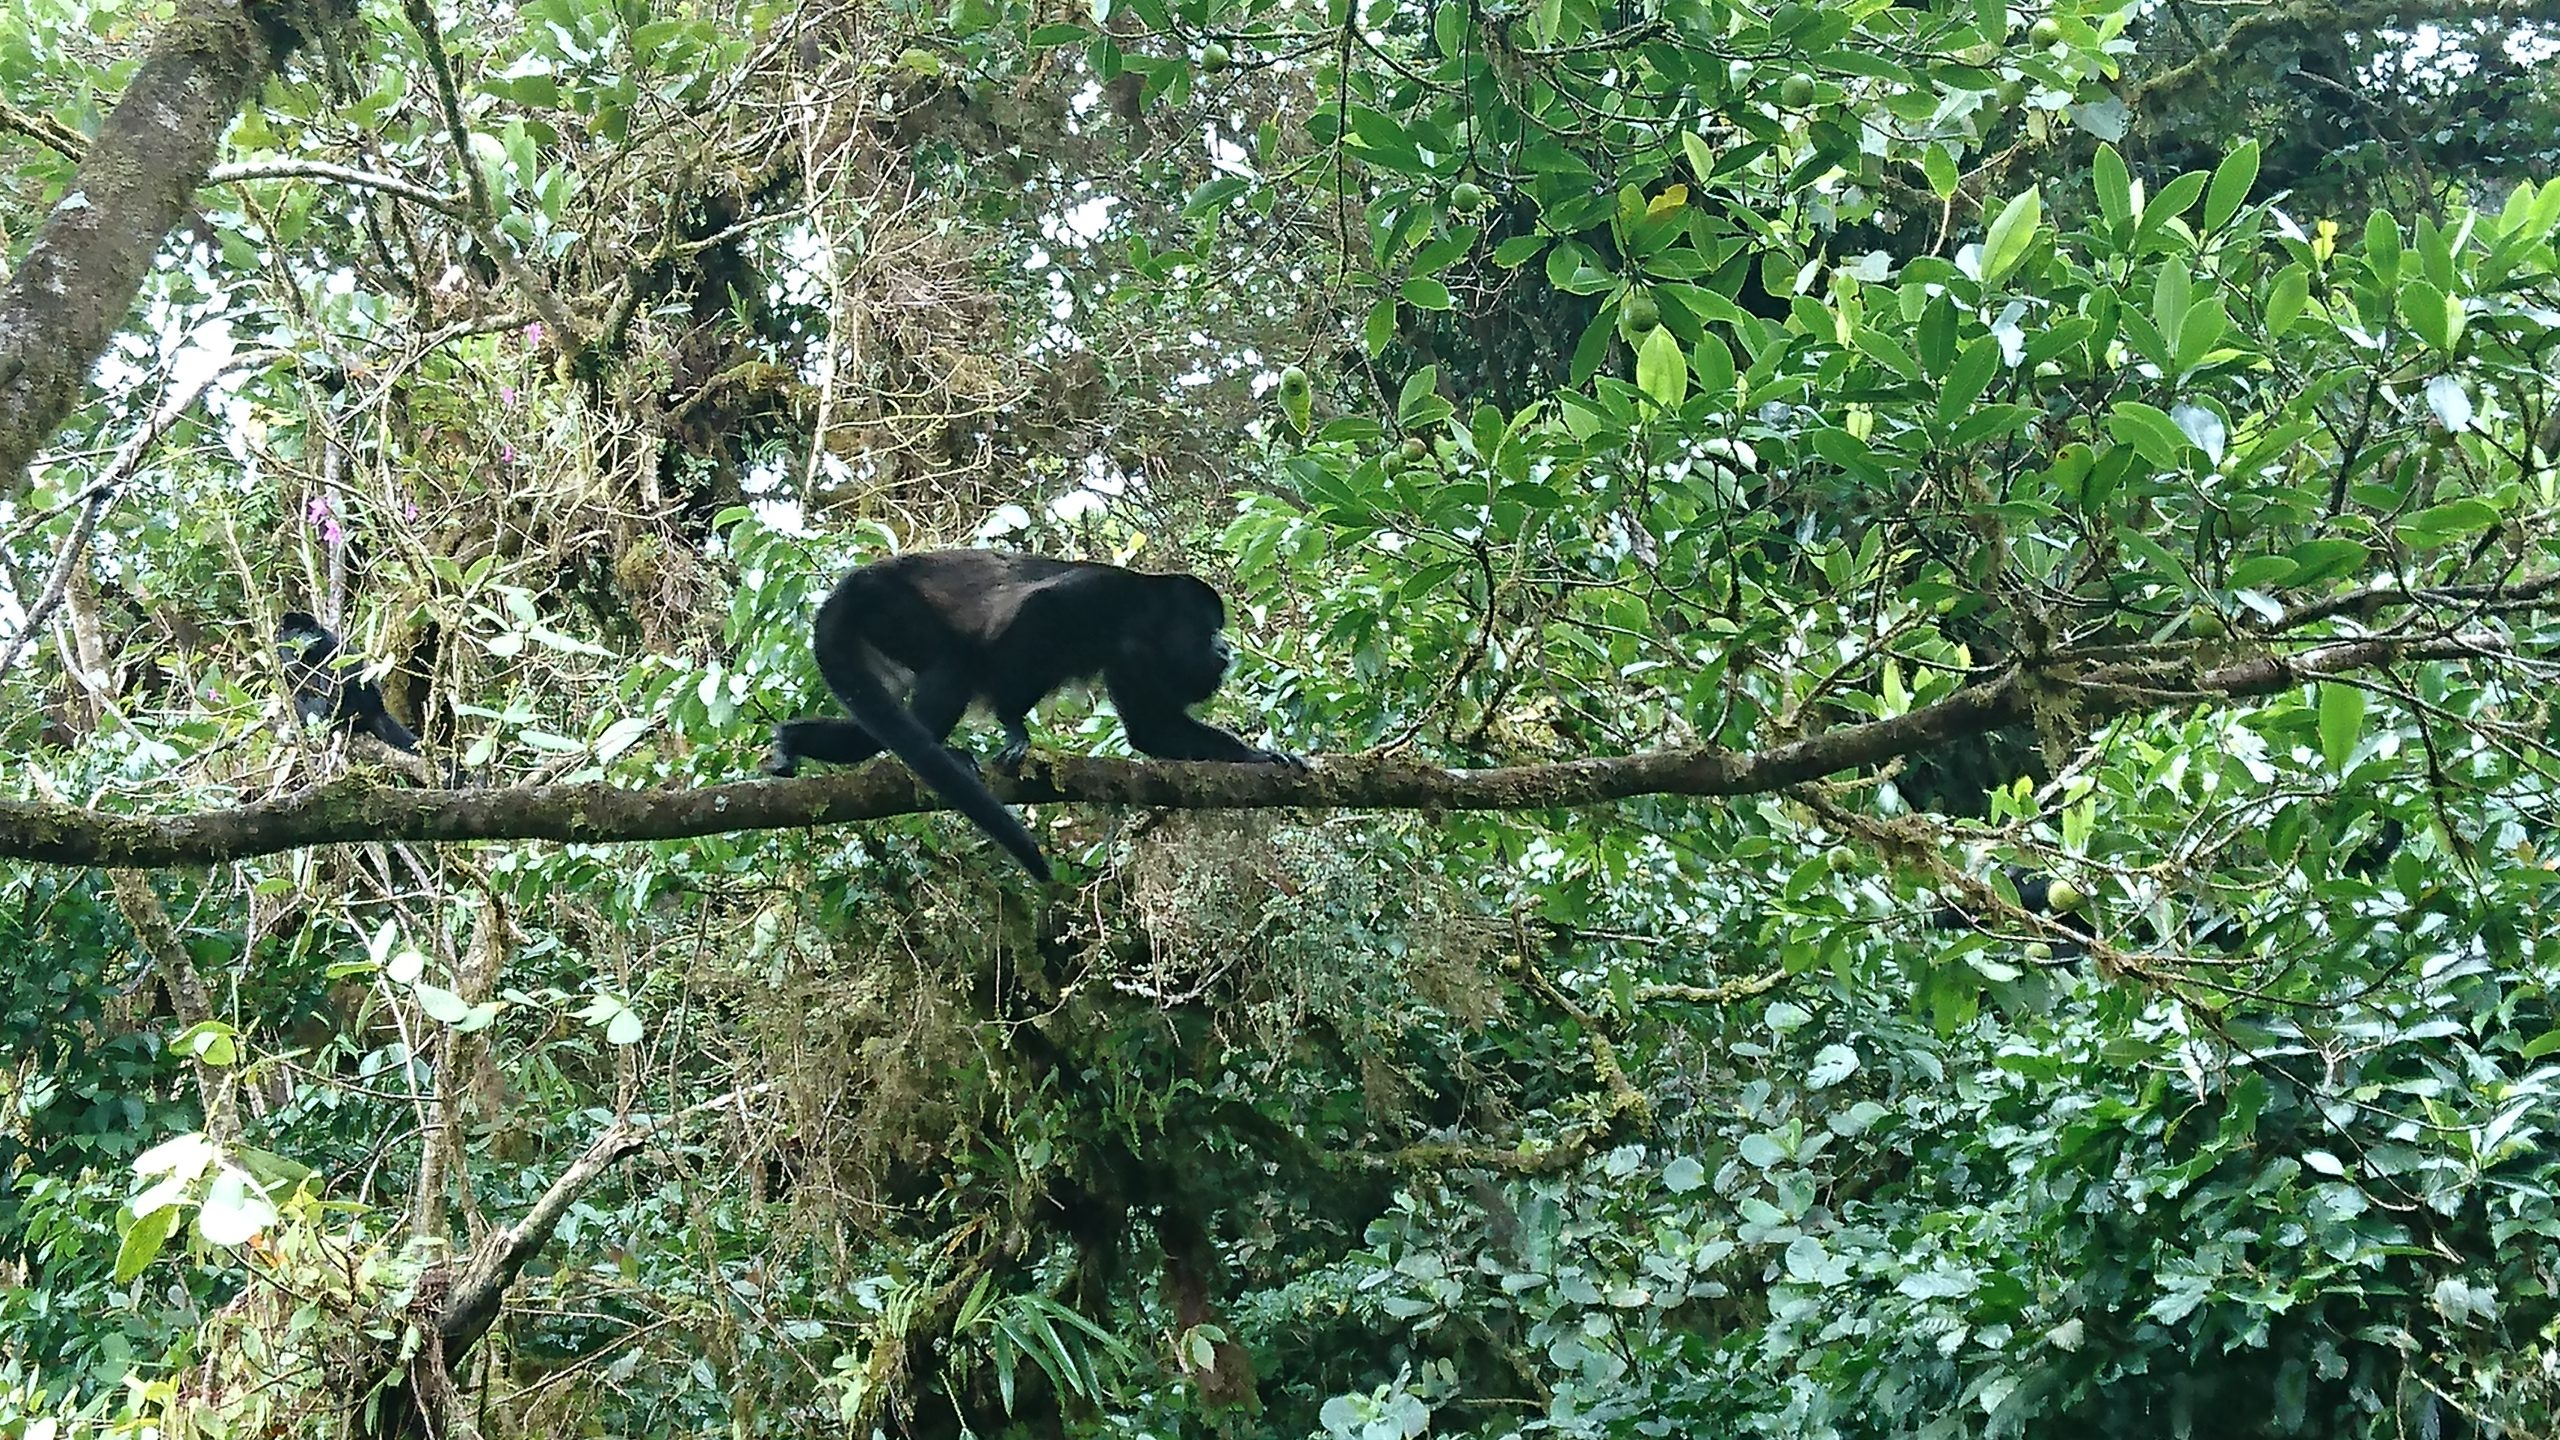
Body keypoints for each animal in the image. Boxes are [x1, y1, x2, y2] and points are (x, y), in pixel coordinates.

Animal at [279, 604, 422, 753]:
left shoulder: (330, 640)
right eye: (299, 632)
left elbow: (351, 661)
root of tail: (378, 710)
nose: (308, 637)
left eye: (311, 631)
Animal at [762, 548, 1310, 881]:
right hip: (889, 608)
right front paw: (1012, 724)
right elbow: (1039, 610)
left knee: (874, 732)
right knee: (950, 668)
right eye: (1209, 627)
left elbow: (1152, 730)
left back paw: (791, 740)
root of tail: (850, 587)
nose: (1226, 647)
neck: (1147, 620)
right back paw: (948, 755)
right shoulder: (1104, 595)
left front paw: (1261, 757)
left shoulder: (1132, 655)